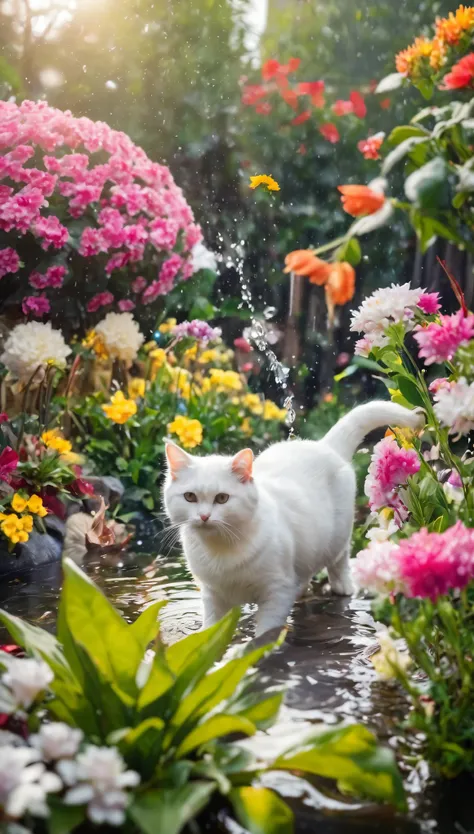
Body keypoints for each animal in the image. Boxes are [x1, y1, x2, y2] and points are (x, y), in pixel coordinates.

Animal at [164, 400, 422, 632]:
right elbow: (211, 631)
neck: (221, 550)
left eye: (222, 498)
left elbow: (265, 635)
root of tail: (324, 445)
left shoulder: (275, 592)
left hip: (337, 536)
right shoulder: (213, 596)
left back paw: (342, 586)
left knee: (339, 561)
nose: (204, 516)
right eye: (190, 497)